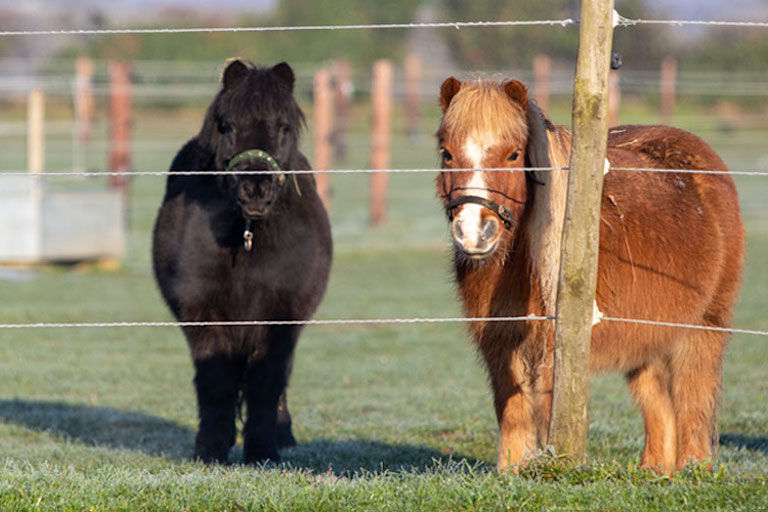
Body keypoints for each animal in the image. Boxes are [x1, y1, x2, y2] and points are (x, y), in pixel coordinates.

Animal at [152, 60, 332, 464]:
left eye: (284, 127)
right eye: (227, 125)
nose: (255, 191)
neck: (247, 237)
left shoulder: (280, 314)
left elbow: (266, 380)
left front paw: (263, 450)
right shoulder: (202, 310)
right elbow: (216, 379)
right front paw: (211, 449)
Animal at [438, 76, 744, 472]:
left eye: (513, 155)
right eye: (446, 153)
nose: (474, 232)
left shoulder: (555, 346)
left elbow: (546, 409)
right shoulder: (501, 343)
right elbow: (513, 409)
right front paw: (513, 470)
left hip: (703, 327)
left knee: (693, 398)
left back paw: (693, 468)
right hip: (648, 337)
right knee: (658, 402)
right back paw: (655, 472)